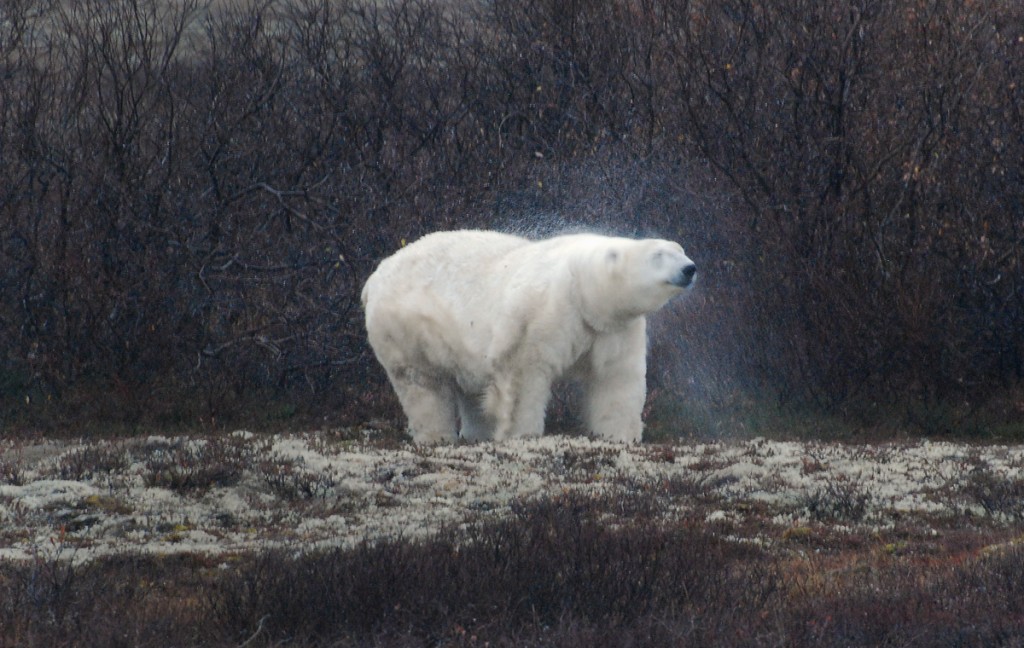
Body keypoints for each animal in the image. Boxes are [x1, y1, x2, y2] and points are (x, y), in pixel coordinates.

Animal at [361, 230, 696, 444]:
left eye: (681, 250)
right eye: (658, 255)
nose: (690, 268)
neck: (583, 290)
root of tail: (375, 275)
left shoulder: (614, 328)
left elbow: (617, 378)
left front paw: (620, 435)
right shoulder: (543, 313)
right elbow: (524, 374)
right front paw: (522, 434)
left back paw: (477, 433)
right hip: (409, 327)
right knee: (421, 383)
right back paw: (437, 436)